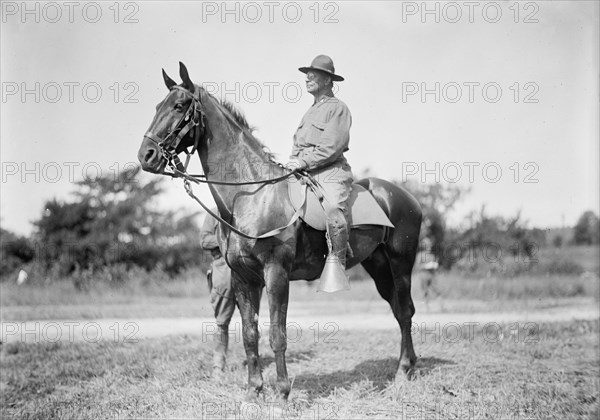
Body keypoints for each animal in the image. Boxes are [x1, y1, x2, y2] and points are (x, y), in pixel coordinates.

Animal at [137, 61, 422, 400]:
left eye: (179, 106)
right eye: (157, 106)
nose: (146, 155)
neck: (251, 195)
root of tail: (405, 196)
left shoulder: (276, 273)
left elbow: (277, 334)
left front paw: (283, 392)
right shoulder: (242, 278)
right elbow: (250, 334)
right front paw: (253, 390)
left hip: (401, 263)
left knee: (405, 311)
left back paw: (403, 372)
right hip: (378, 266)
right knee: (399, 309)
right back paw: (409, 366)